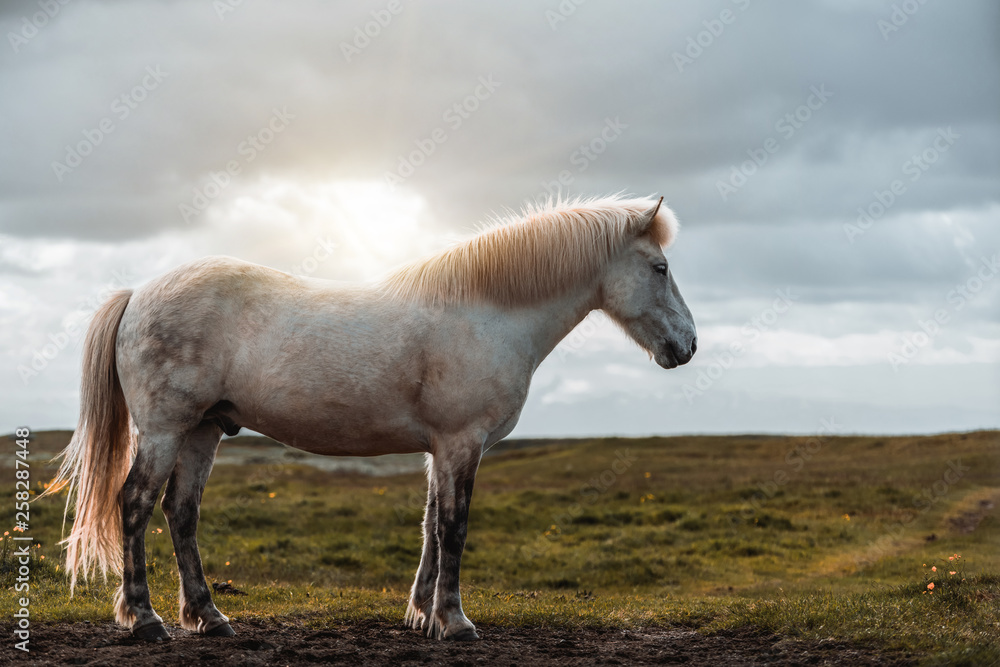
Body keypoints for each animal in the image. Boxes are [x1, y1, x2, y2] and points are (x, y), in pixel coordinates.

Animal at [47, 193, 696, 640]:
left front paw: (422, 615)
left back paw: (210, 616)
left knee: (181, 514)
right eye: (660, 268)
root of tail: (138, 294)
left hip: (203, 432)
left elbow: (432, 526)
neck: (486, 312)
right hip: (164, 430)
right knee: (135, 504)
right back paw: (145, 618)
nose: (687, 345)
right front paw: (455, 621)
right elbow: (455, 527)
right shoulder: (461, 443)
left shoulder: (442, 448)